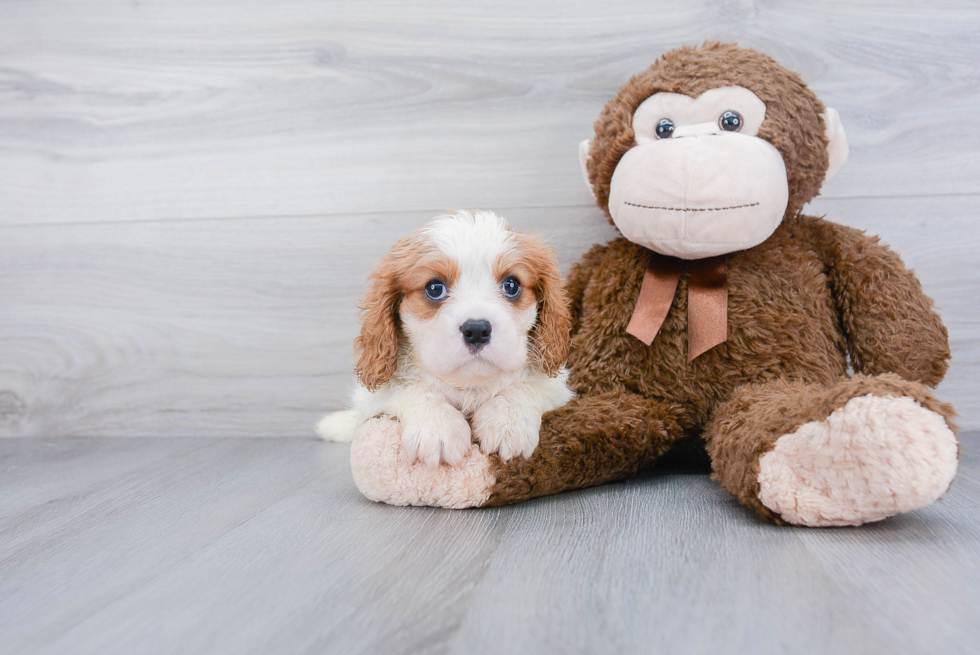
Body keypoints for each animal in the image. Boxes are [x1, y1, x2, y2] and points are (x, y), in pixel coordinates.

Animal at [314, 210, 576, 466]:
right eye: (434, 288)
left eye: (511, 285)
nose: (477, 330)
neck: (470, 383)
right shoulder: (375, 397)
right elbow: (410, 387)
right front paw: (438, 428)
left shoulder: (557, 388)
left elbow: (529, 386)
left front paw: (508, 424)